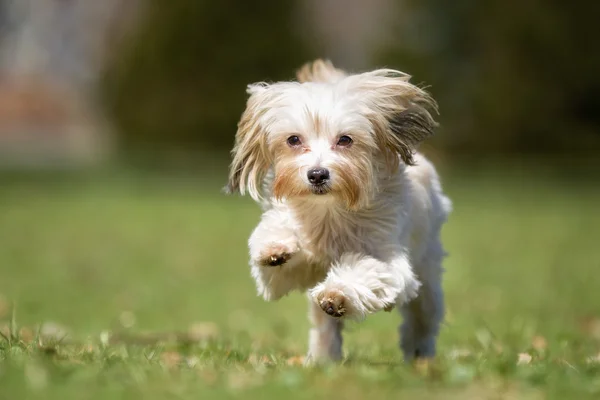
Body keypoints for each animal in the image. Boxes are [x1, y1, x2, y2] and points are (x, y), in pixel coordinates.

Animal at [225, 60, 450, 366]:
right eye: (293, 140)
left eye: (345, 140)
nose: (317, 174)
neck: (331, 211)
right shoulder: (288, 273)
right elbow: (276, 258)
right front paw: (276, 246)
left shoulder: (391, 261)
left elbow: (368, 271)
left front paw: (337, 294)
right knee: (324, 327)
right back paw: (323, 358)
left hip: (427, 273)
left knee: (422, 318)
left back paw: (420, 356)